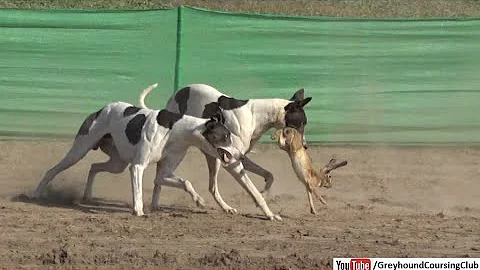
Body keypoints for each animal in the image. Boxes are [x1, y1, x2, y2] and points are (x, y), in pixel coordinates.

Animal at [31, 83, 242, 216]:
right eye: (225, 136)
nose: (240, 154)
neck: (177, 129)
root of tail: (100, 110)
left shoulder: (164, 172)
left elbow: (186, 182)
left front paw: (198, 200)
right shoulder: (138, 166)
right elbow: (138, 190)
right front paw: (138, 210)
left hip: (117, 163)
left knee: (93, 167)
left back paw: (88, 195)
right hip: (79, 151)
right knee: (53, 170)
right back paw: (37, 193)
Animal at [138, 83, 312, 220]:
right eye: (301, 123)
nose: (305, 146)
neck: (256, 115)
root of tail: (176, 94)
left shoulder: (239, 157)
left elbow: (269, 175)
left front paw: (265, 191)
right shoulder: (232, 163)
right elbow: (253, 190)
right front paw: (269, 214)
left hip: (213, 157)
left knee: (209, 187)